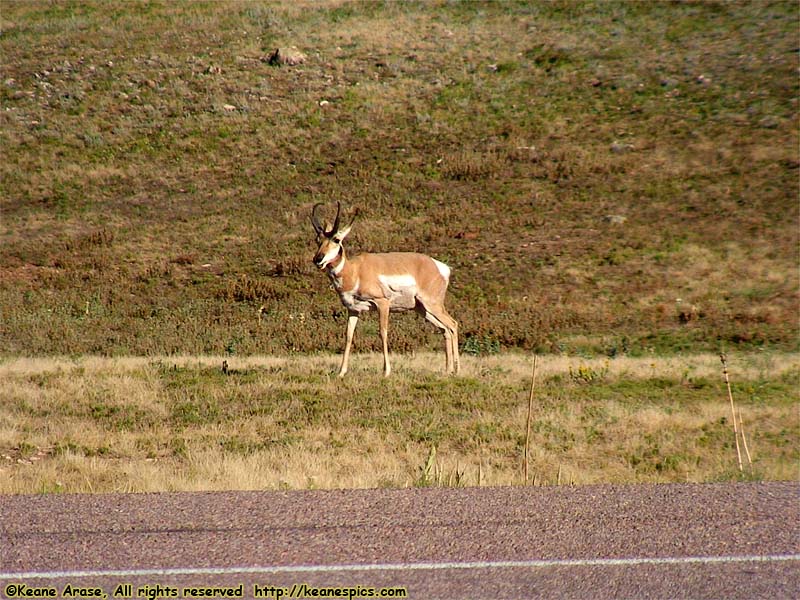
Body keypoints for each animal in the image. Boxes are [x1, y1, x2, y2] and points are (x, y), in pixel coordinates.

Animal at [310, 204, 460, 378]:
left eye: (336, 239)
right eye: (317, 240)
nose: (318, 259)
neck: (355, 270)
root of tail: (440, 266)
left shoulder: (383, 303)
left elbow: (383, 333)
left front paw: (386, 371)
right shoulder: (353, 309)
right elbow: (348, 336)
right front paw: (341, 372)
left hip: (432, 305)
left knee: (453, 324)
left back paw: (457, 370)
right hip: (423, 310)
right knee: (445, 329)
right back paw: (447, 370)